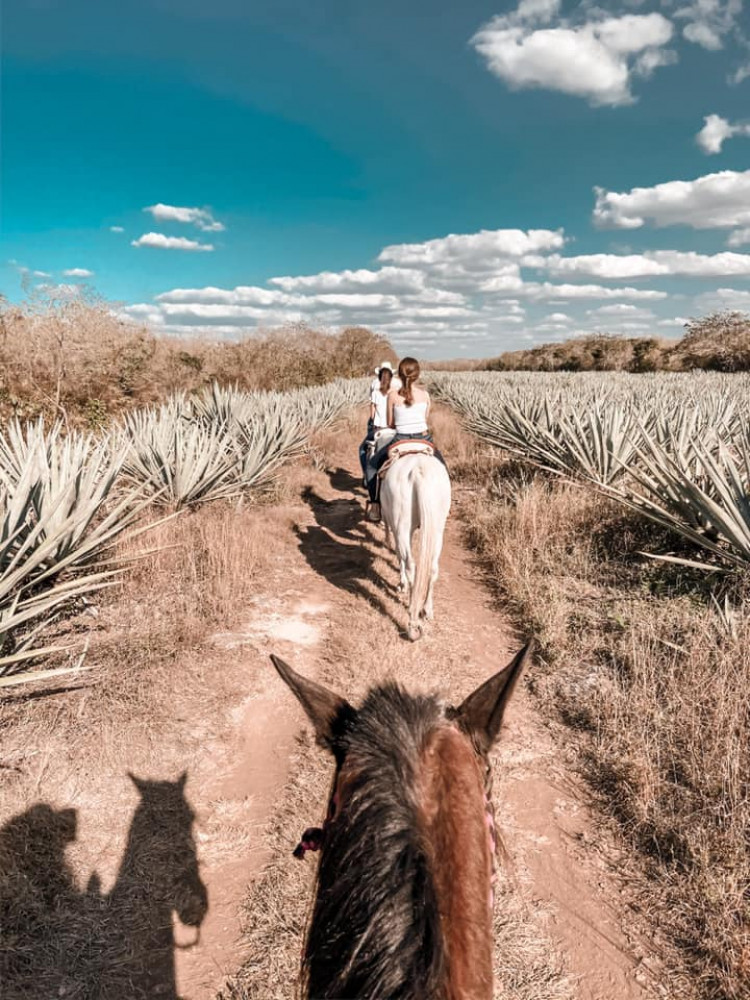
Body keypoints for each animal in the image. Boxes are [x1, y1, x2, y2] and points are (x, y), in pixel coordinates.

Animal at [374, 430, 452, 640]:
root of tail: (418, 469)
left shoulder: (395, 524)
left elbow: (398, 554)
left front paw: (400, 585)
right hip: (437, 528)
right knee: (432, 568)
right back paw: (426, 610)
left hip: (403, 525)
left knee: (410, 564)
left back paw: (412, 613)